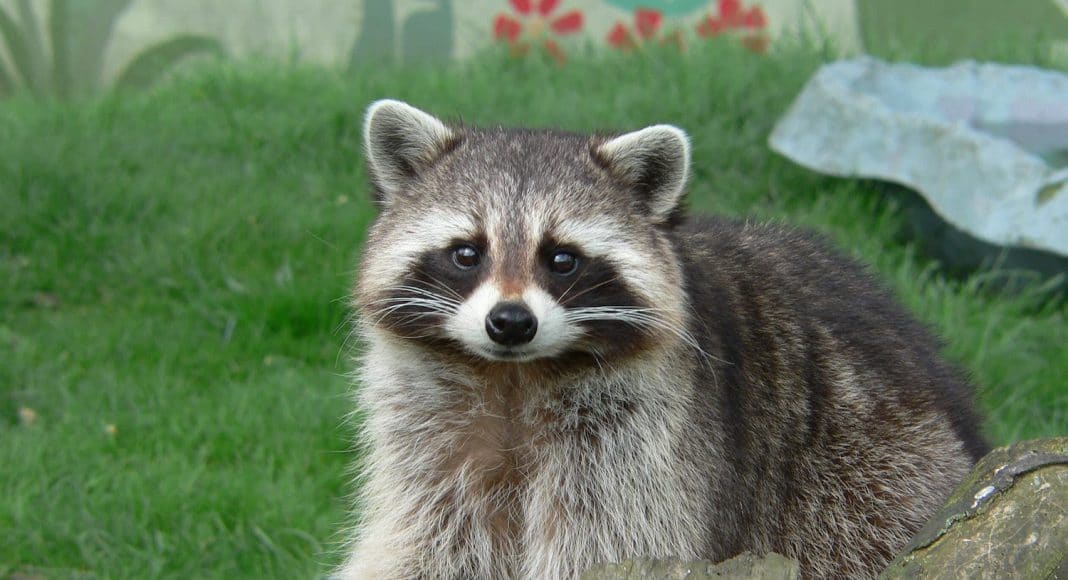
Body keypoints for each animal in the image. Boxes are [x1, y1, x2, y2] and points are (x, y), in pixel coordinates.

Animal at [338, 100, 988, 579]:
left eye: (562, 259)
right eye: (467, 253)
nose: (511, 322)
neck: (513, 375)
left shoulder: (642, 443)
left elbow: (609, 541)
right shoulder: (430, 436)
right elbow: (435, 538)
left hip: (870, 477)